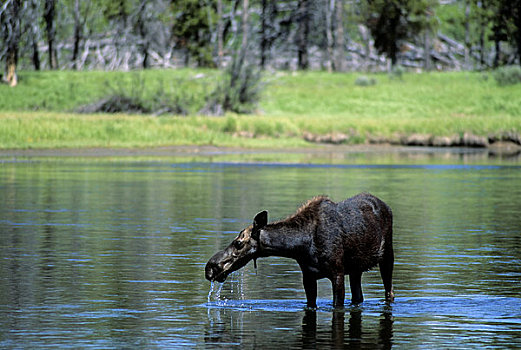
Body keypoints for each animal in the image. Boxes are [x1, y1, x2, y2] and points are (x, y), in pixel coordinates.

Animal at [205, 193, 392, 308]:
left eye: (238, 243)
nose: (210, 268)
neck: (301, 246)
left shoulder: (337, 273)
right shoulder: (308, 276)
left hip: (387, 256)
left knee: (389, 292)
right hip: (355, 270)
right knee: (358, 297)